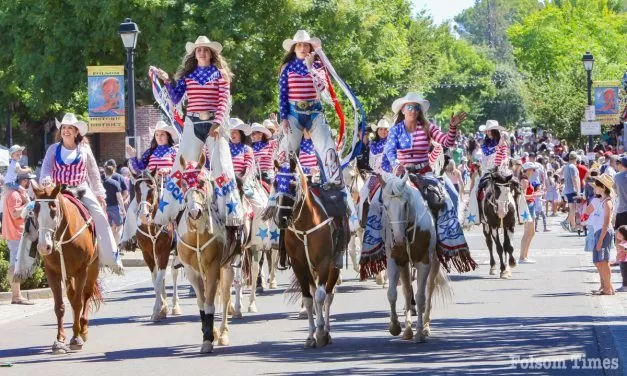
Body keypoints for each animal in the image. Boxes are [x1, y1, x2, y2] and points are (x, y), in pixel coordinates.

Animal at [30, 184, 102, 354]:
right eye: (35, 210)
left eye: (53, 209)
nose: (43, 246)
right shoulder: (52, 272)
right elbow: (59, 306)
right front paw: (59, 340)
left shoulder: (82, 270)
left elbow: (78, 303)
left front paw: (76, 338)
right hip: (68, 275)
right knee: (72, 295)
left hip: (93, 267)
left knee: (86, 294)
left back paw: (83, 329)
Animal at [132, 170, 182, 320]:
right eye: (136, 190)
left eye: (152, 189)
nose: (144, 215)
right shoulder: (147, 254)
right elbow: (155, 281)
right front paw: (161, 308)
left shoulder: (163, 252)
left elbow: (159, 282)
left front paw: (157, 309)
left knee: (174, 272)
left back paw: (175, 305)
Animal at [175, 154, 237, 354]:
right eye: (182, 182)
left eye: (201, 182)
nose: (195, 212)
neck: (197, 233)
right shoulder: (192, 272)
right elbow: (202, 304)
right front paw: (208, 333)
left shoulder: (213, 267)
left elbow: (210, 303)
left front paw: (209, 339)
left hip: (227, 267)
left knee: (224, 296)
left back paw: (223, 333)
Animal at [264, 154, 344, 348]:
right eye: (275, 183)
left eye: (293, 184)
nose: (281, 219)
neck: (305, 225)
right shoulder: (299, 264)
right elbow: (308, 299)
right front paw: (310, 335)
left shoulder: (324, 262)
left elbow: (321, 296)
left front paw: (321, 333)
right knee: (315, 293)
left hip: (333, 266)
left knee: (328, 295)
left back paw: (327, 330)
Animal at [378, 173, 452, 344]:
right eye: (385, 206)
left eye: (405, 205)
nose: (398, 239)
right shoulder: (394, 260)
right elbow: (392, 293)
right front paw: (395, 327)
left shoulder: (424, 262)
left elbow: (420, 297)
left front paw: (419, 333)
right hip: (405, 265)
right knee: (406, 291)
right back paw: (407, 329)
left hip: (434, 262)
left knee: (429, 290)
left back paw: (425, 327)